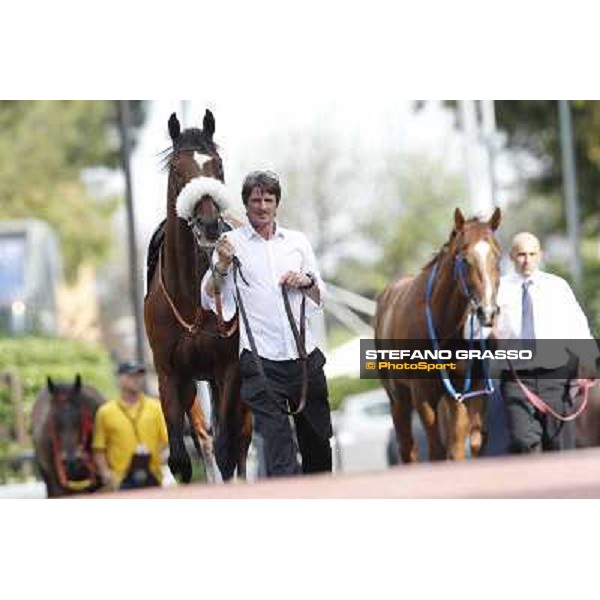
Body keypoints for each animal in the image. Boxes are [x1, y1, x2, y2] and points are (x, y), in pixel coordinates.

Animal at [144, 110, 251, 480]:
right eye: (178, 169)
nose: (208, 225)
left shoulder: (229, 367)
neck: (189, 297)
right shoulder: (169, 373)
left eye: (217, 166)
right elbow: (179, 459)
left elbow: (228, 451)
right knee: (205, 439)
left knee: (240, 441)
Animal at [376, 209, 502, 462]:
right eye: (465, 259)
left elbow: (465, 445)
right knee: (408, 448)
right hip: (398, 398)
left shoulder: (467, 389)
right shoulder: (423, 395)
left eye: (497, 257)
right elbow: (436, 450)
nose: (487, 312)